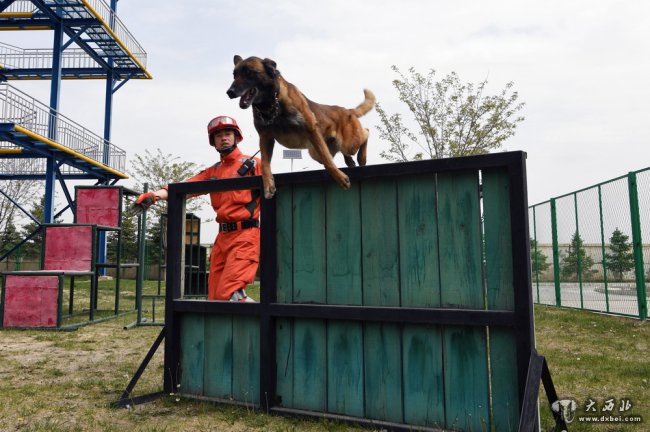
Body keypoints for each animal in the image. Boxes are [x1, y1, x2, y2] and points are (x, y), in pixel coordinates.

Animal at [227, 53, 374, 199]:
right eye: (234, 75)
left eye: (249, 73)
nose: (229, 92)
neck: (272, 103)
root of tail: (347, 110)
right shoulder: (265, 138)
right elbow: (264, 164)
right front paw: (268, 185)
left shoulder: (311, 129)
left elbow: (327, 160)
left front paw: (340, 178)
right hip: (316, 152)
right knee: (344, 150)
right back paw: (350, 161)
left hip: (349, 143)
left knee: (366, 133)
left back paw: (361, 157)